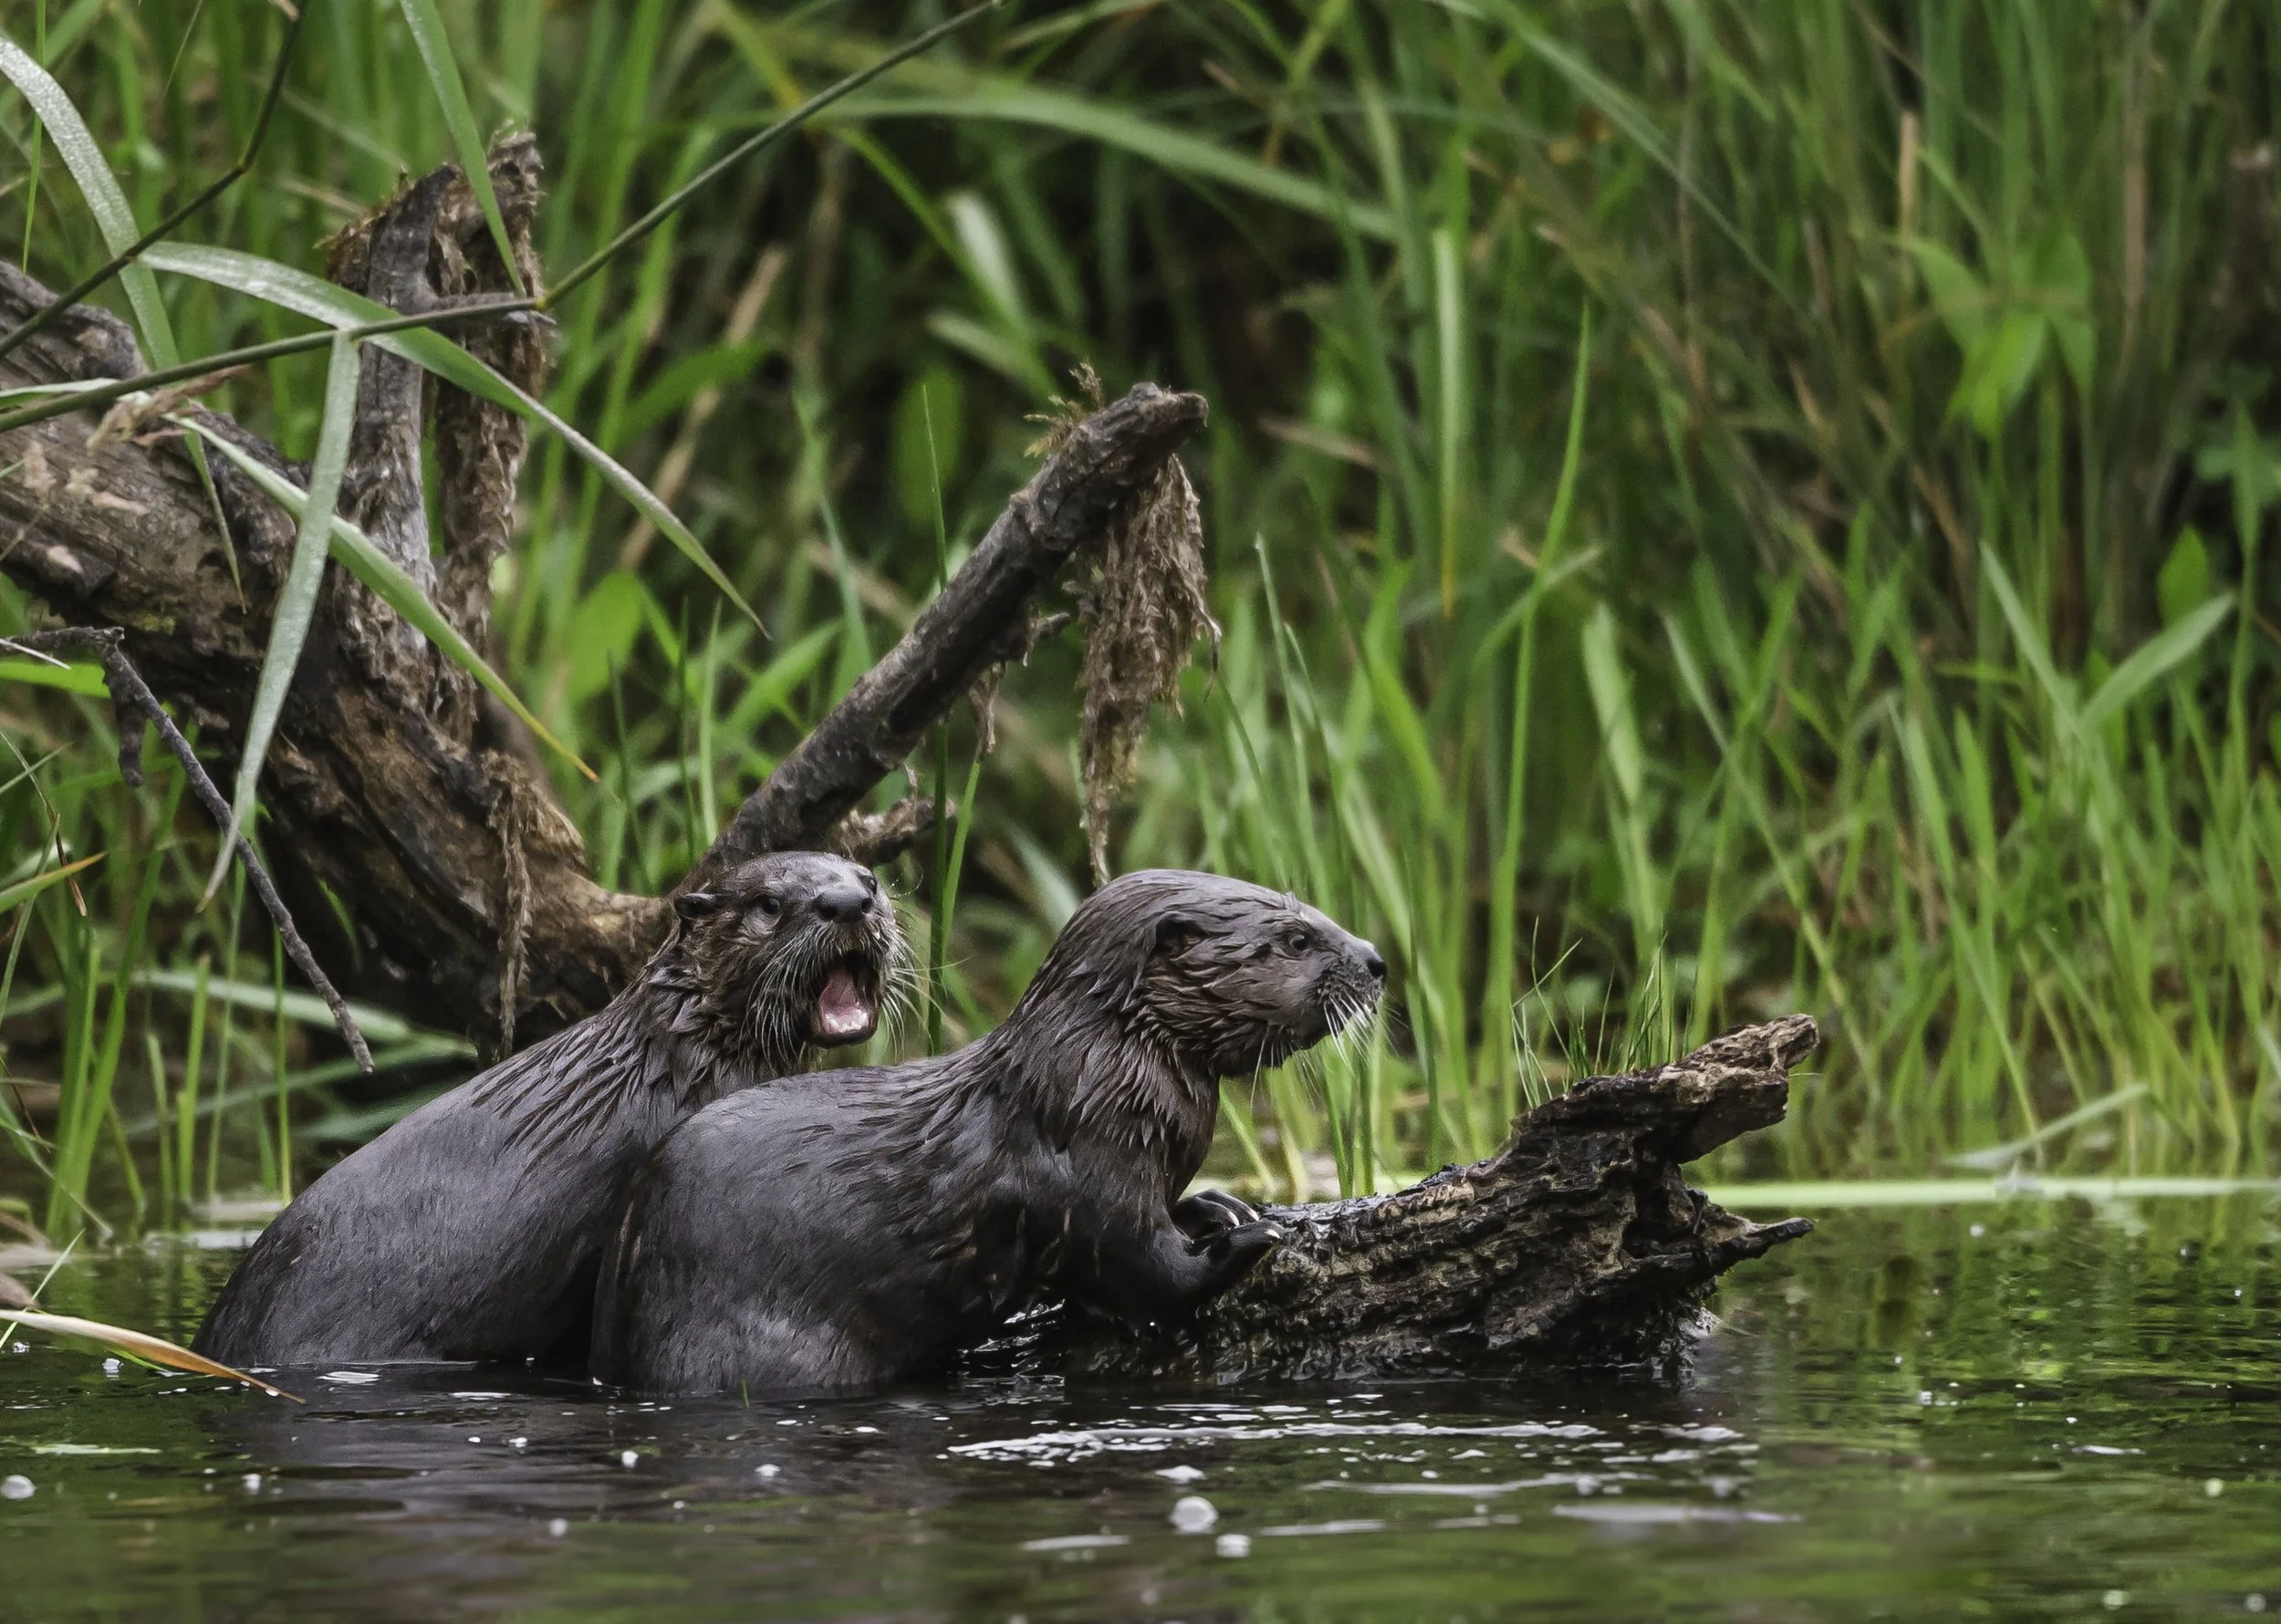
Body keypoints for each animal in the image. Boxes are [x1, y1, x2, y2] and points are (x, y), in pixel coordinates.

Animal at [588, 869, 1385, 1395]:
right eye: (1296, 937)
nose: (1377, 960)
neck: (1099, 1077)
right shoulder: (1084, 1171)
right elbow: (1146, 1270)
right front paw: (1246, 1244)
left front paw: (1222, 1205)